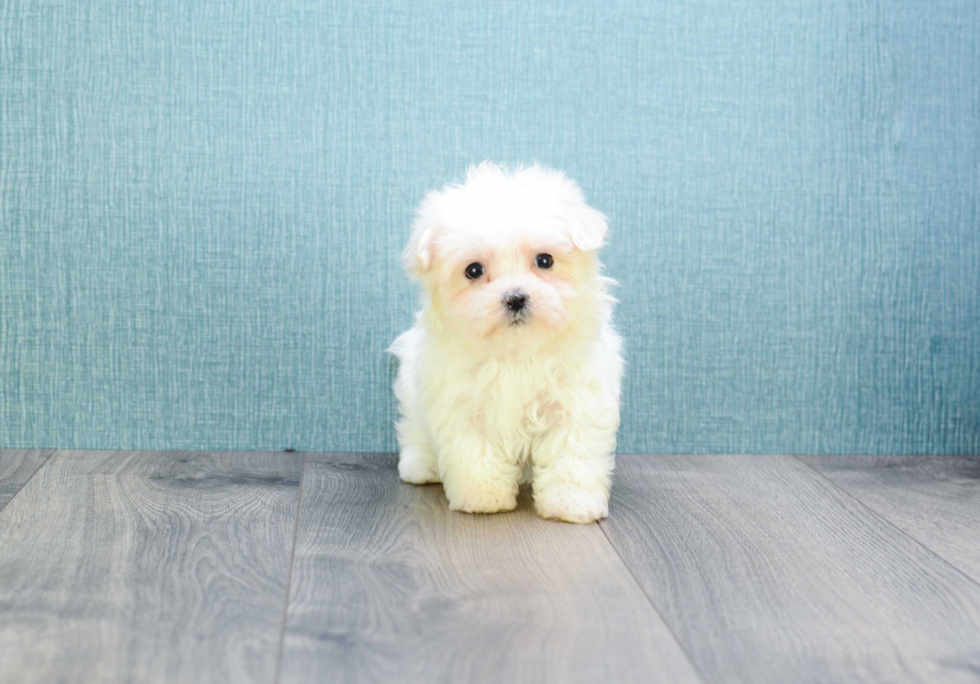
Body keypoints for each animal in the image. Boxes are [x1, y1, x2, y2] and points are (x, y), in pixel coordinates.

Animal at [388, 162, 624, 524]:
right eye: (473, 270)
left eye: (545, 260)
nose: (515, 298)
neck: (516, 353)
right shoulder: (462, 405)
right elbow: (474, 452)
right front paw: (482, 496)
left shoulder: (577, 402)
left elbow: (572, 455)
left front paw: (572, 504)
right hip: (412, 392)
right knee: (413, 429)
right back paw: (421, 466)